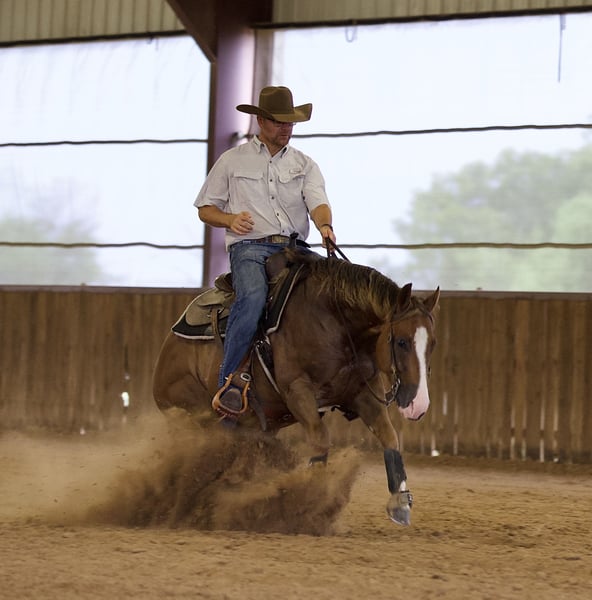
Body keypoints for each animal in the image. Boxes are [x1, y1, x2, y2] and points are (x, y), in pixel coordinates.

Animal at [153, 248, 440, 526]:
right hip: (190, 415)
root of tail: (167, 348)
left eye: (432, 344)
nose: (419, 405)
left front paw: (400, 503)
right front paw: (309, 501)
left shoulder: (364, 393)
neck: (335, 323)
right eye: (401, 342)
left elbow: (390, 438)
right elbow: (321, 441)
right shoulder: (297, 391)